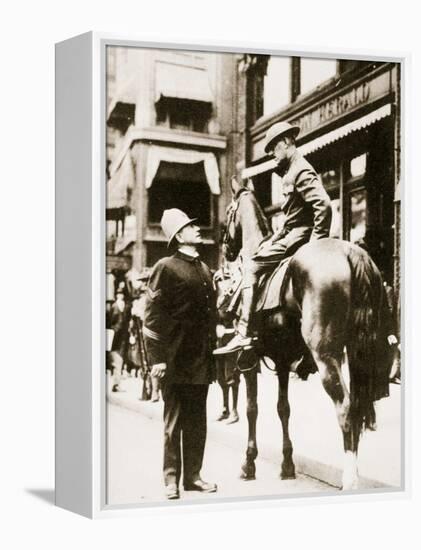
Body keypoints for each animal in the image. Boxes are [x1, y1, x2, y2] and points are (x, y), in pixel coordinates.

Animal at [220, 190, 394, 492]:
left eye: (230, 212)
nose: (225, 248)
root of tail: (351, 251)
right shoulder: (282, 360)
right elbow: (283, 409)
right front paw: (287, 465)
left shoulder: (249, 363)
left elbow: (252, 409)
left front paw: (248, 464)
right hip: (357, 354)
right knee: (357, 407)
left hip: (326, 356)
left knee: (345, 407)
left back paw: (349, 478)